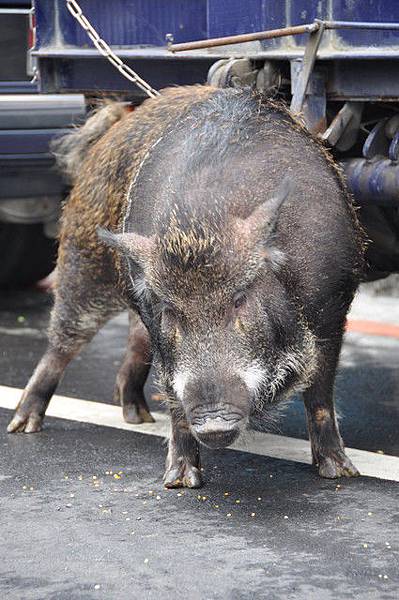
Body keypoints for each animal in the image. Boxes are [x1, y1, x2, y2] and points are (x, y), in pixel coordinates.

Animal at [8, 85, 366, 488]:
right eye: (171, 310)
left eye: (240, 299)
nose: (212, 424)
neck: (202, 227)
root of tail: (116, 125)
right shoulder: (164, 338)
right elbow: (175, 392)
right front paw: (179, 482)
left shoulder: (332, 309)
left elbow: (320, 393)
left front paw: (339, 473)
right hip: (82, 259)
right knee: (62, 342)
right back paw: (22, 426)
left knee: (133, 347)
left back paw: (138, 417)